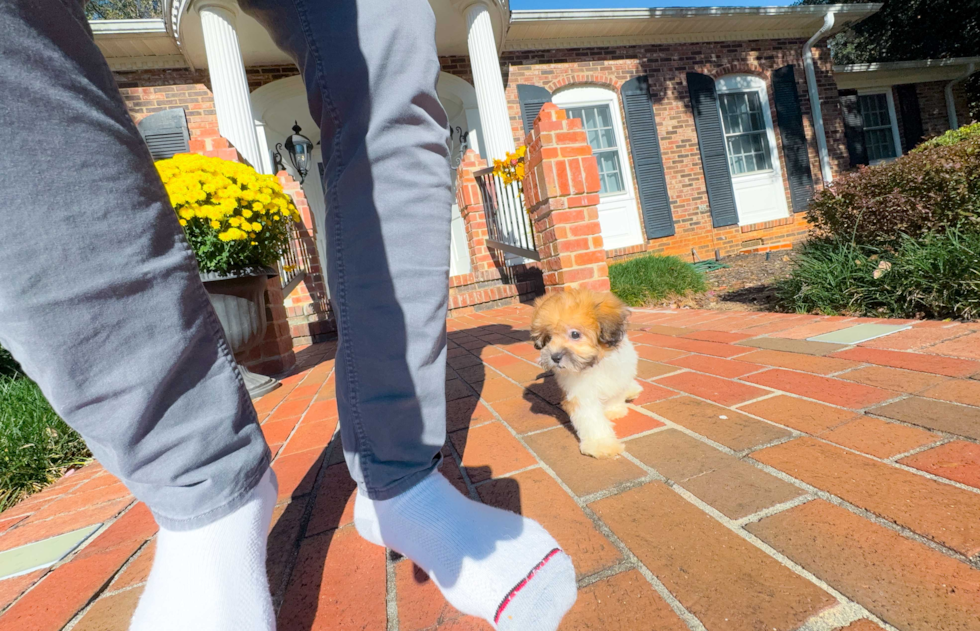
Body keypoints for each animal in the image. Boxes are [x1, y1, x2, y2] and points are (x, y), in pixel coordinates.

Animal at [532, 288, 640, 460]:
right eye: (548, 338)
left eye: (575, 334)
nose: (554, 357)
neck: (595, 363)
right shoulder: (580, 393)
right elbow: (591, 418)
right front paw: (602, 444)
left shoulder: (618, 373)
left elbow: (615, 393)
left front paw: (614, 410)